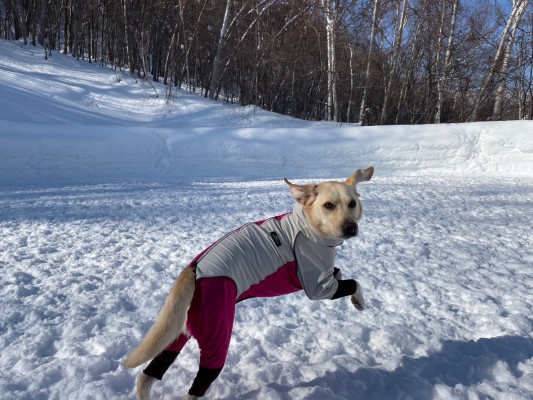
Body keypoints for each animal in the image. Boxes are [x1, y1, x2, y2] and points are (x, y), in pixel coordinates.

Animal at [124, 167, 374, 398]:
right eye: (328, 205)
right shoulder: (318, 286)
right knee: (195, 386)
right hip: (217, 334)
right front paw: (359, 300)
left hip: (179, 330)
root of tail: (193, 270)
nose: (350, 228)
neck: (308, 226)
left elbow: (339, 273)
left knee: (147, 376)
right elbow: (353, 282)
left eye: (352, 203)